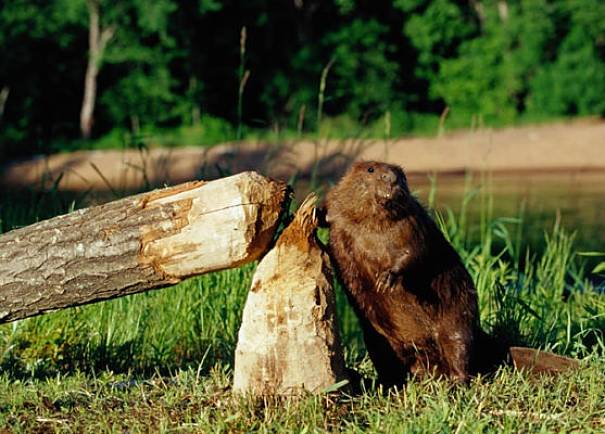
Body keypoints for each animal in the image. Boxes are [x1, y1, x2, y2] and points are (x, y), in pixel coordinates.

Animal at [324, 161, 494, 384]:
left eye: (402, 174)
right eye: (371, 169)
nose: (391, 178)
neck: (372, 224)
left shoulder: (413, 222)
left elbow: (417, 250)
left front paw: (387, 279)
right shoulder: (341, 220)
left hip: (457, 318)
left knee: (460, 349)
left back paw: (456, 382)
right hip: (376, 340)